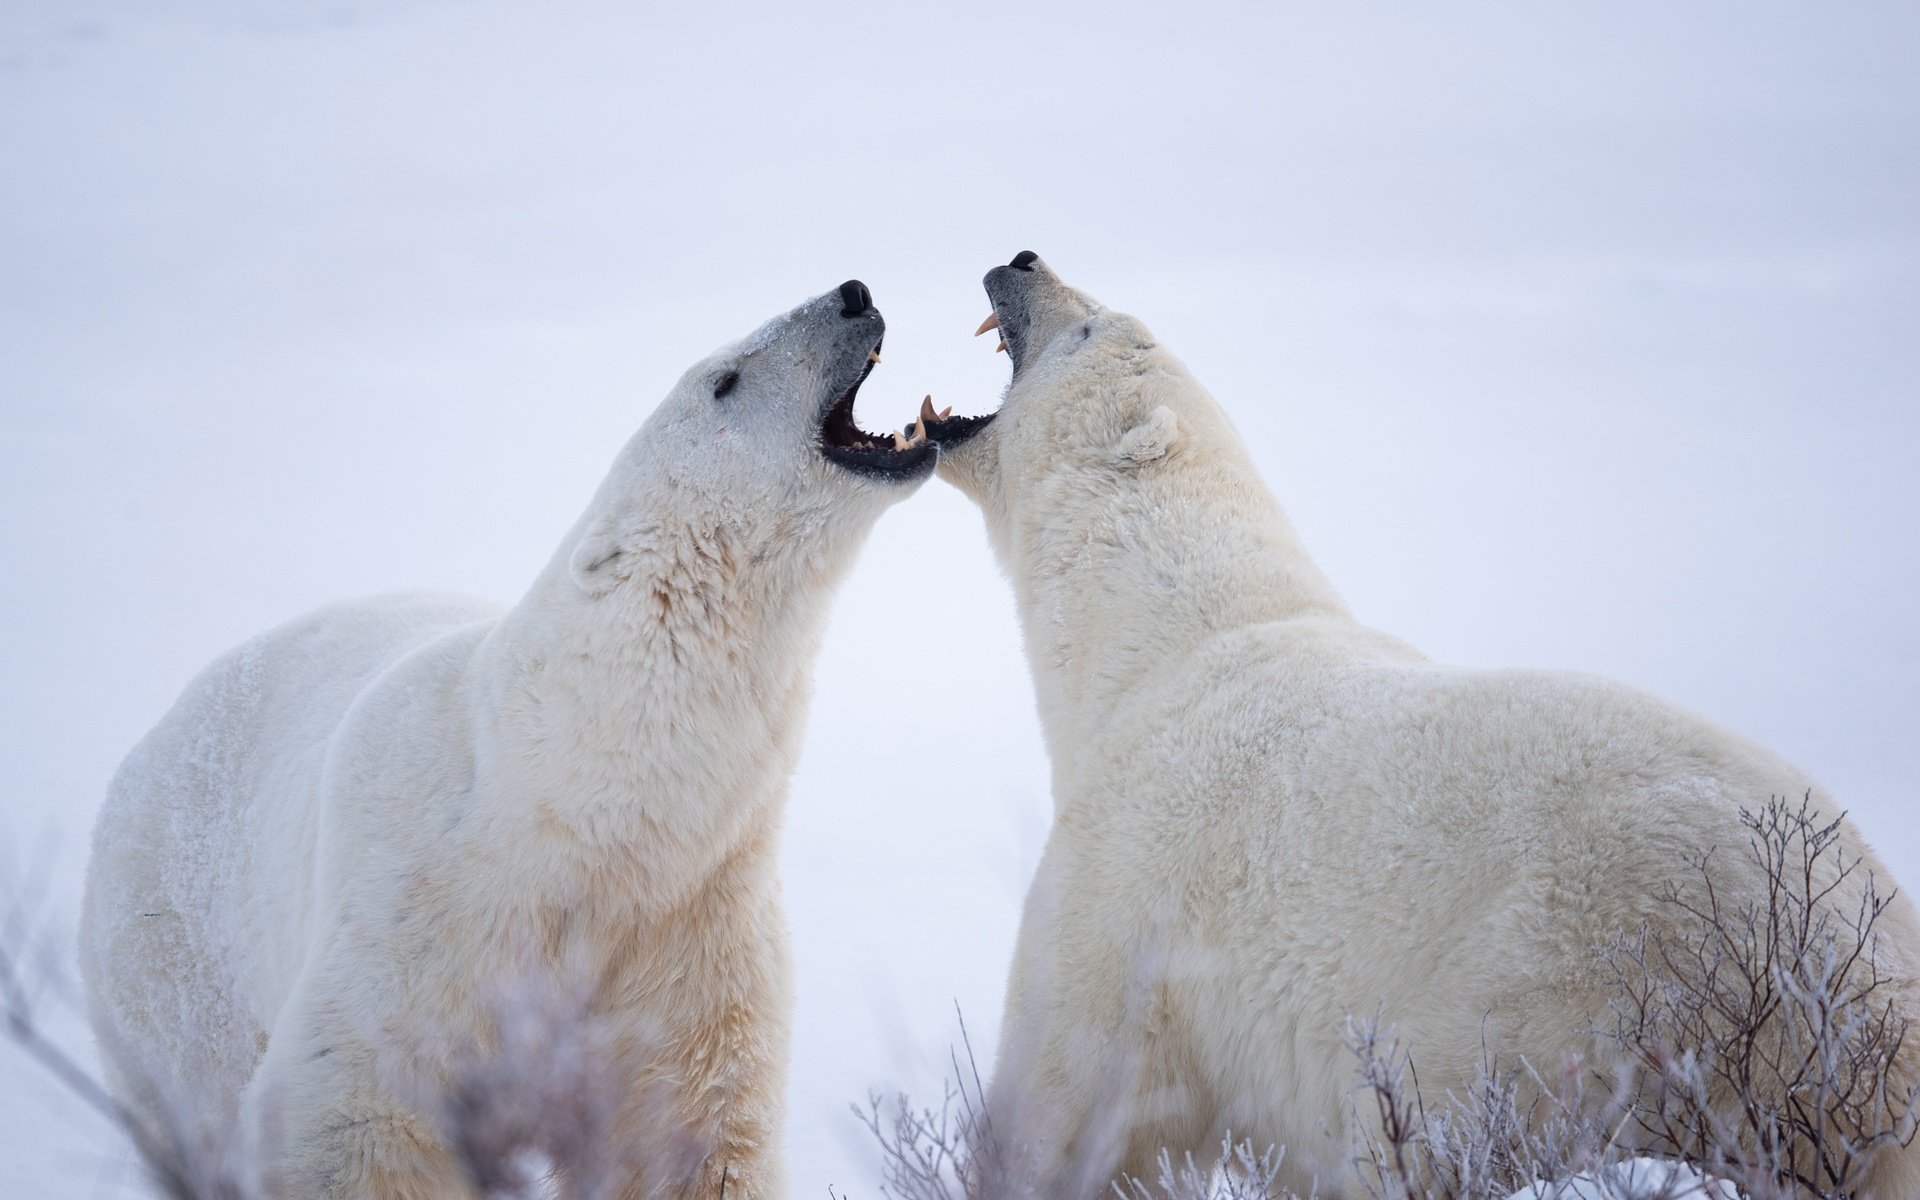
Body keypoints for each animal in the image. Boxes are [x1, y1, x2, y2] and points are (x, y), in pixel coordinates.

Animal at [78, 280, 940, 1198]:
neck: (576, 818)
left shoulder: (693, 939)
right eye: (725, 380)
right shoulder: (414, 941)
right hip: (173, 954)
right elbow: (357, 1122)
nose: (852, 293)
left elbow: (687, 1141)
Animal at [913, 253, 1920, 1198]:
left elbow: (1068, 1106)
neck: (1158, 640)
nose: (1025, 260)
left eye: (1092, 329)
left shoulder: (1127, 893)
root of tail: (1867, 999)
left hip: (1567, 987)